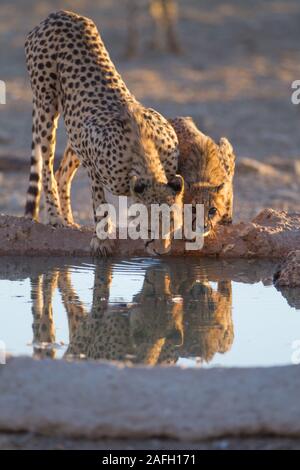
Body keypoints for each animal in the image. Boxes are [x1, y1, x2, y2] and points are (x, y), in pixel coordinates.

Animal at [24, 9, 183, 255]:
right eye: (149, 227)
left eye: (171, 225)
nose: (161, 251)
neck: (146, 154)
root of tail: (61, 13)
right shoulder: (94, 167)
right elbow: (99, 203)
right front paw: (101, 240)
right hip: (46, 107)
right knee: (47, 166)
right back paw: (55, 217)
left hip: (75, 126)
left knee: (62, 172)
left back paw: (69, 220)